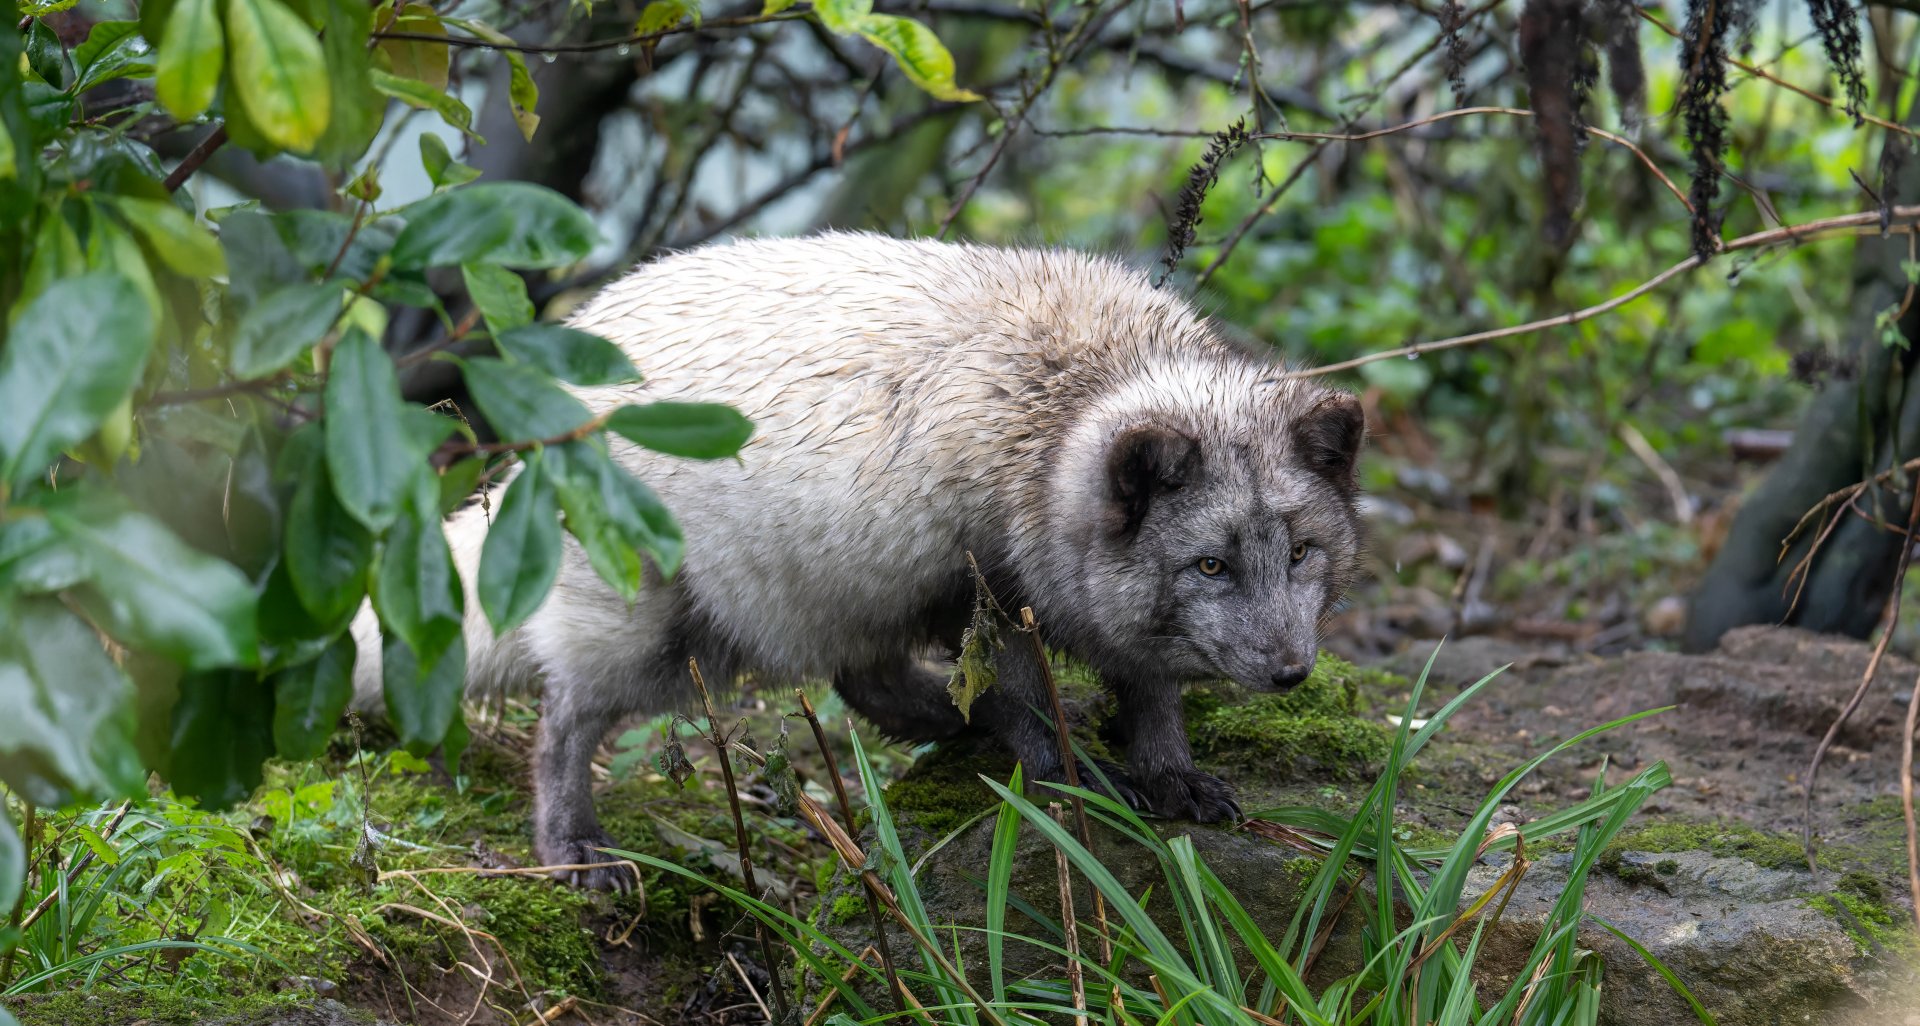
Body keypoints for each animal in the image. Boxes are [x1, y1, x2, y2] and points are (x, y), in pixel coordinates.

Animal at [351, 232, 1367, 890]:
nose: (1291, 675)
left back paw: (959, 729)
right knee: (563, 718)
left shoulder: (1085, 614)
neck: (1063, 409)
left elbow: (1151, 692)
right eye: (1210, 567)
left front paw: (1166, 769)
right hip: (658, 626)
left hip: (837, 592)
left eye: (1302, 552)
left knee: (862, 685)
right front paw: (1070, 768)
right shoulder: (987, 592)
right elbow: (1030, 695)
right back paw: (571, 845)